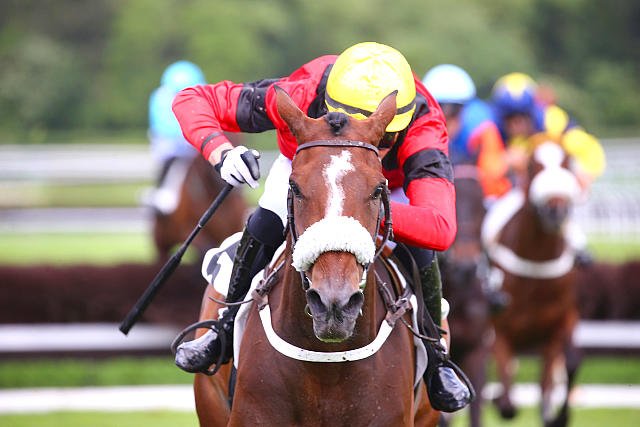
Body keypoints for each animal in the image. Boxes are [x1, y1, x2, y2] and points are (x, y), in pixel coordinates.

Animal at [481, 138, 582, 427]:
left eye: (567, 163)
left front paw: (558, 414)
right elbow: (506, 394)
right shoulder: (499, 328)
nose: (556, 210)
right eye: (532, 166)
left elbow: (569, 362)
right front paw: (500, 400)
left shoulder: (563, 319)